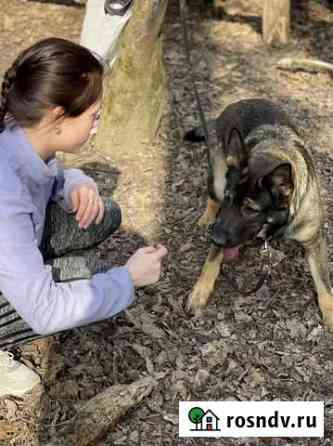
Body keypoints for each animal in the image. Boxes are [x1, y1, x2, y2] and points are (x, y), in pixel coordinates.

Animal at [184, 98, 332, 328]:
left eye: (250, 209)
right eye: (229, 198)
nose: (214, 237)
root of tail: (237, 103)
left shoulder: (314, 241)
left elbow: (324, 283)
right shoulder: (223, 220)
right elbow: (212, 259)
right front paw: (200, 291)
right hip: (217, 178)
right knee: (211, 196)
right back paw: (207, 216)